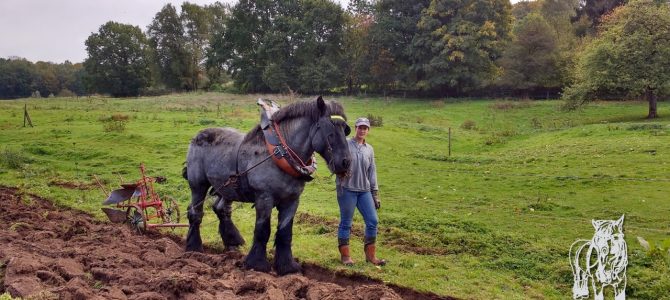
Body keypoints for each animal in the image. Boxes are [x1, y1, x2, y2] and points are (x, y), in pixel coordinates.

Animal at [182, 96, 352, 274]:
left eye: (345, 129)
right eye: (330, 130)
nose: (346, 162)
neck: (280, 153)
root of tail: (197, 136)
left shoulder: (292, 200)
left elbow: (285, 232)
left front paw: (287, 266)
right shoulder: (264, 198)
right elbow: (263, 230)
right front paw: (257, 263)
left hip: (226, 187)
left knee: (221, 209)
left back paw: (232, 242)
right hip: (198, 185)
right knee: (195, 213)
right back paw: (194, 247)